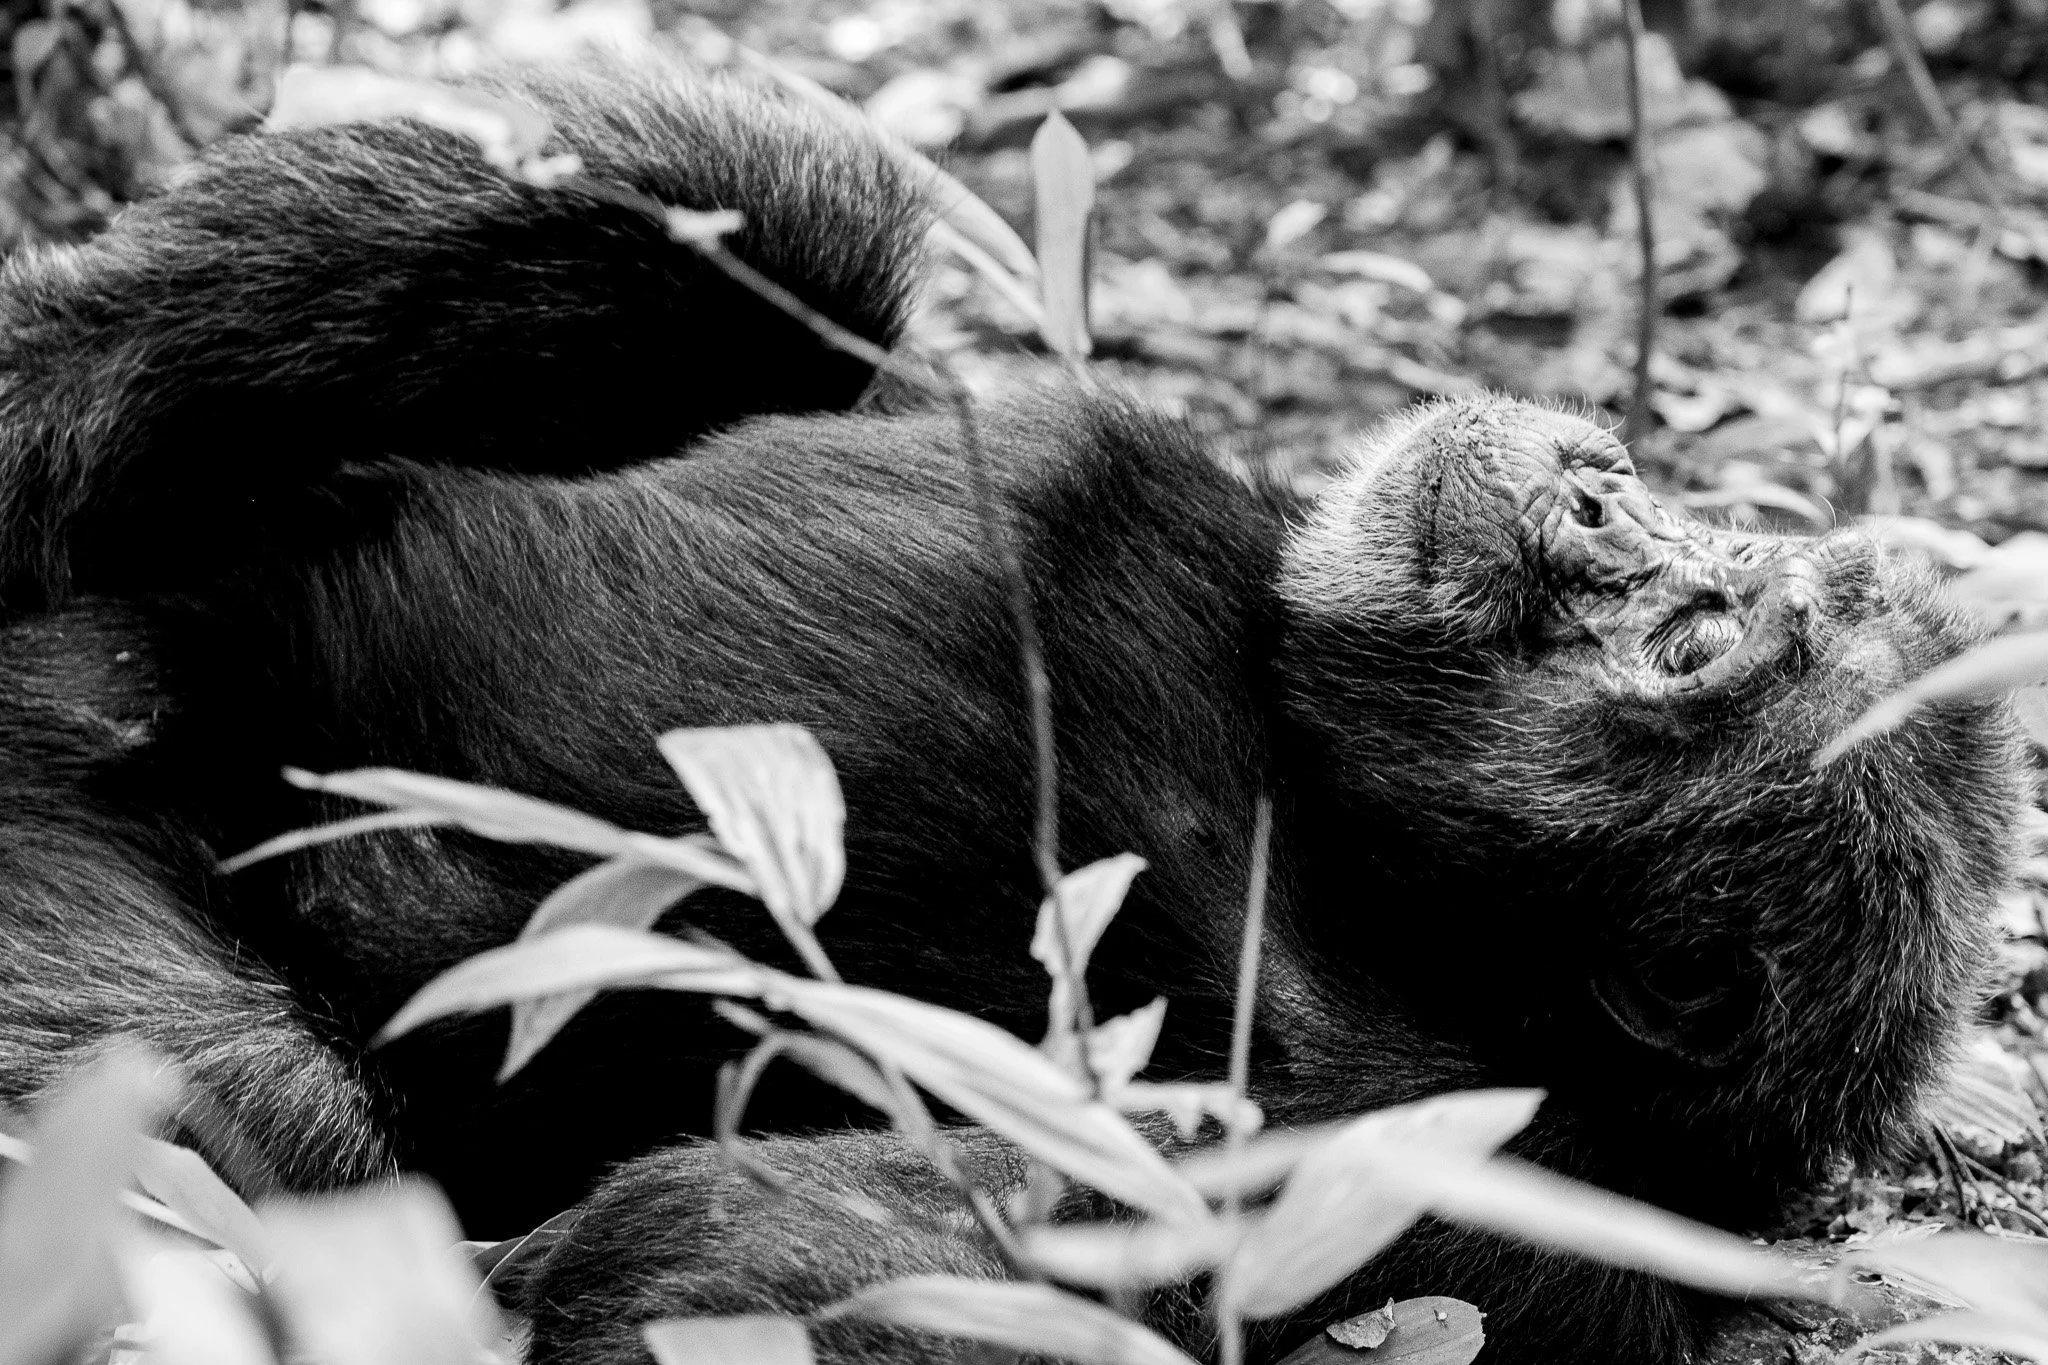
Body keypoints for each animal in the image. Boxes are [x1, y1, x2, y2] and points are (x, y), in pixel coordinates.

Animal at [0, 57, 2021, 1365]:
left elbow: (767, 1275)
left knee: (239, 1104)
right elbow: (772, 216)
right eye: (1738, 551)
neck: (1347, 848)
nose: (1605, 492)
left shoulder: (1465, 1201)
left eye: (1691, 645)